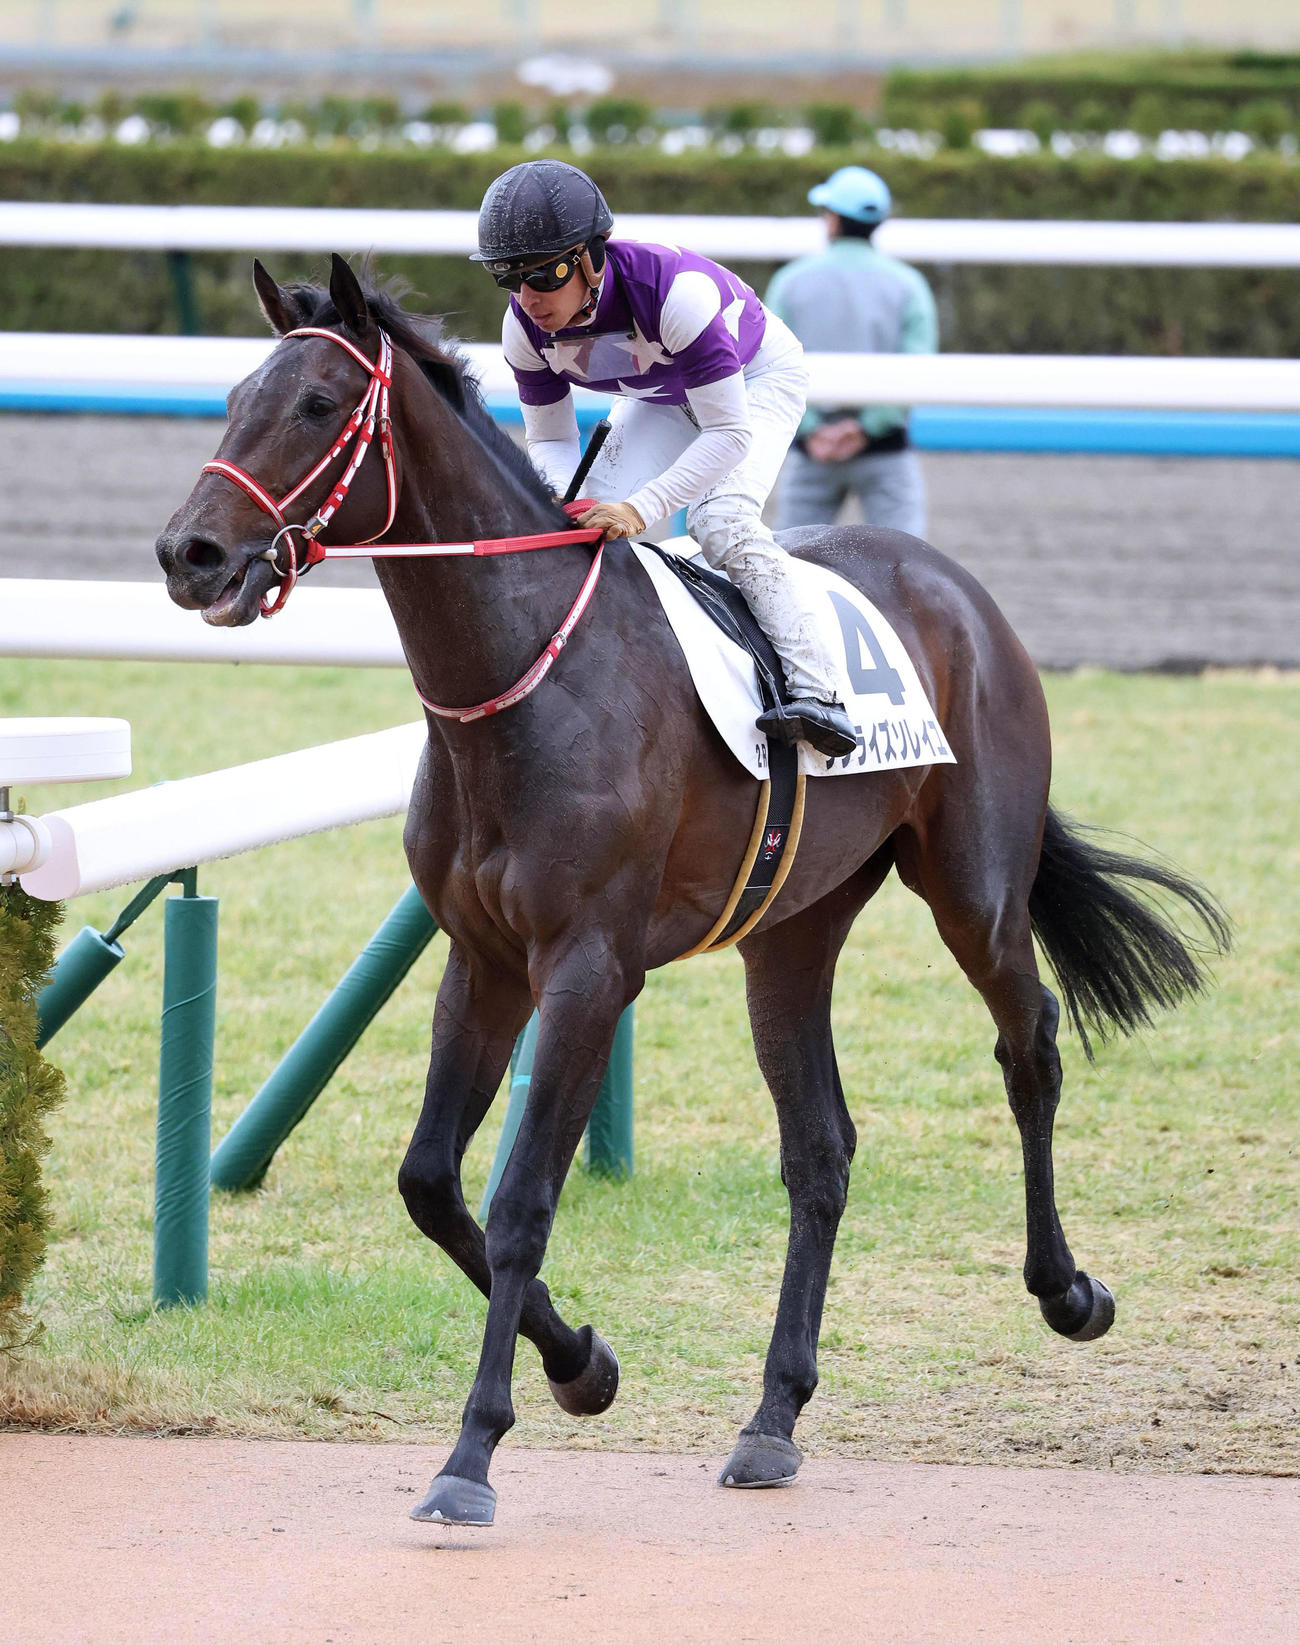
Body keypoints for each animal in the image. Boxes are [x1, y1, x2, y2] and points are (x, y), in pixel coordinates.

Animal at [156, 255, 1229, 1526]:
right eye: (234, 394)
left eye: (319, 404)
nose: (189, 554)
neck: (526, 678)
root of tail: (952, 584)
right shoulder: (483, 956)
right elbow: (429, 1184)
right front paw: (582, 1365)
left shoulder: (587, 968)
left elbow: (521, 1202)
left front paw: (472, 1452)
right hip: (792, 932)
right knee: (820, 1150)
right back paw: (772, 1418)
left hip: (974, 888)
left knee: (1031, 1050)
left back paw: (1066, 1288)